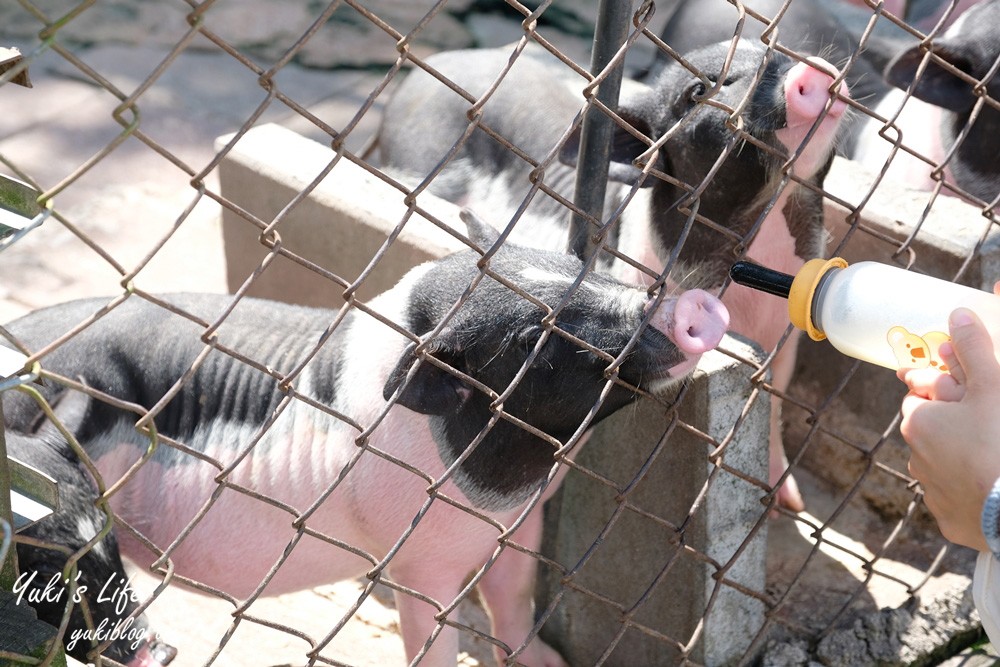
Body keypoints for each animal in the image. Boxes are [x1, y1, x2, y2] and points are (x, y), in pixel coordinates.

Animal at [378, 41, 848, 512]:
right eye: (699, 91)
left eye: (779, 50)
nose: (813, 70)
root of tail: (450, 58)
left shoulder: (785, 342)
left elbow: (776, 403)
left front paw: (791, 503)